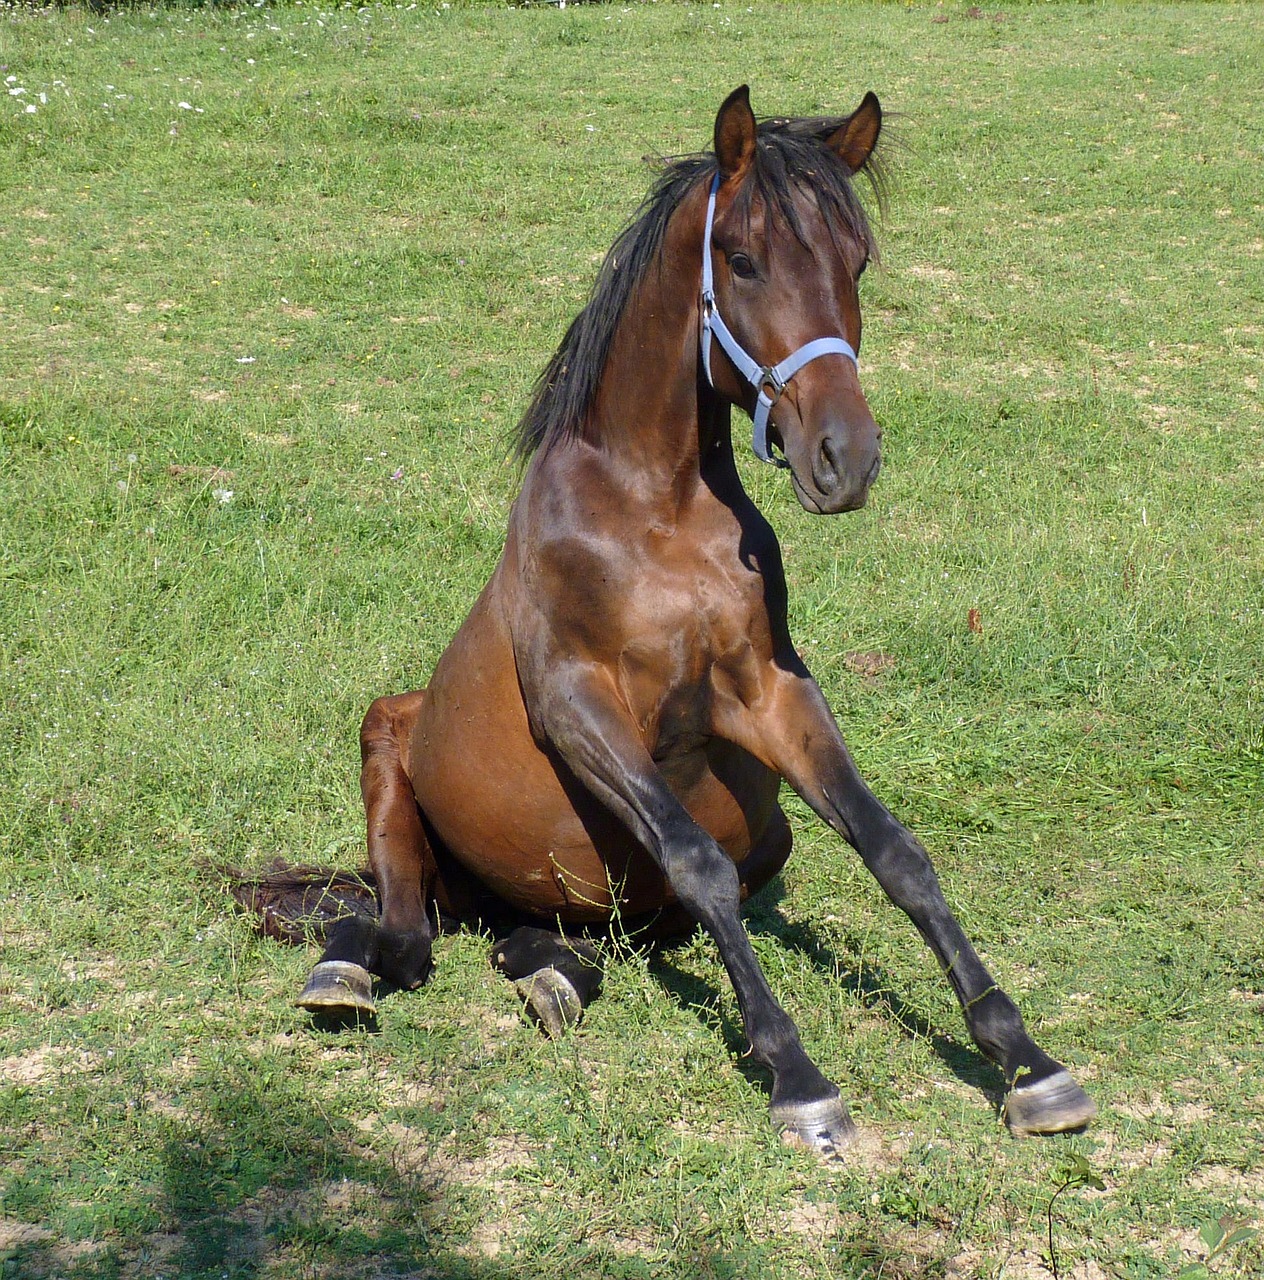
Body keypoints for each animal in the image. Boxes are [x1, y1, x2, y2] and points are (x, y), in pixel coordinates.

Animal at [262, 85, 1090, 1157]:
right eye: (739, 258)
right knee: (406, 937)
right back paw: (345, 968)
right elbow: (699, 861)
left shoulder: (769, 692)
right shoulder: (576, 707)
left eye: (857, 258)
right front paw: (797, 1077)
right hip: (390, 754)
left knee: (570, 938)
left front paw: (1024, 1059)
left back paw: (550, 974)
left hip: (710, 851)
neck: (655, 514)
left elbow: (895, 851)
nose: (846, 458)